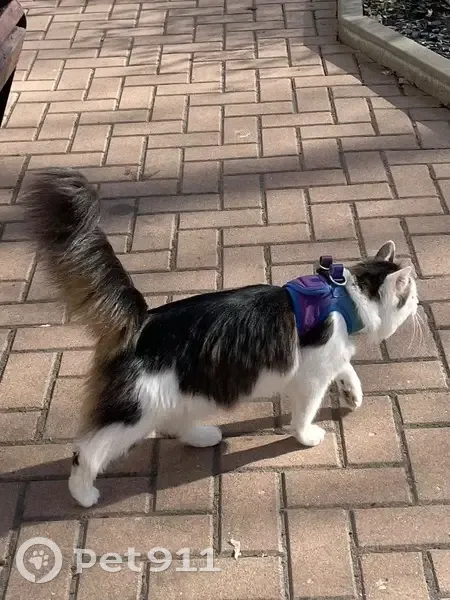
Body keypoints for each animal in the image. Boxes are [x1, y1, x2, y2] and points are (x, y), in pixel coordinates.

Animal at [23, 169, 419, 508]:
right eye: (411, 294)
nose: (420, 303)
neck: (342, 298)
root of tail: (143, 322)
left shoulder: (329, 359)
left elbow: (347, 367)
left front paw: (353, 393)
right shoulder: (311, 378)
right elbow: (305, 414)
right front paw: (306, 436)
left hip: (183, 392)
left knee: (173, 423)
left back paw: (202, 437)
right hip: (134, 412)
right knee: (87, 452)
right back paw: (83, 493)